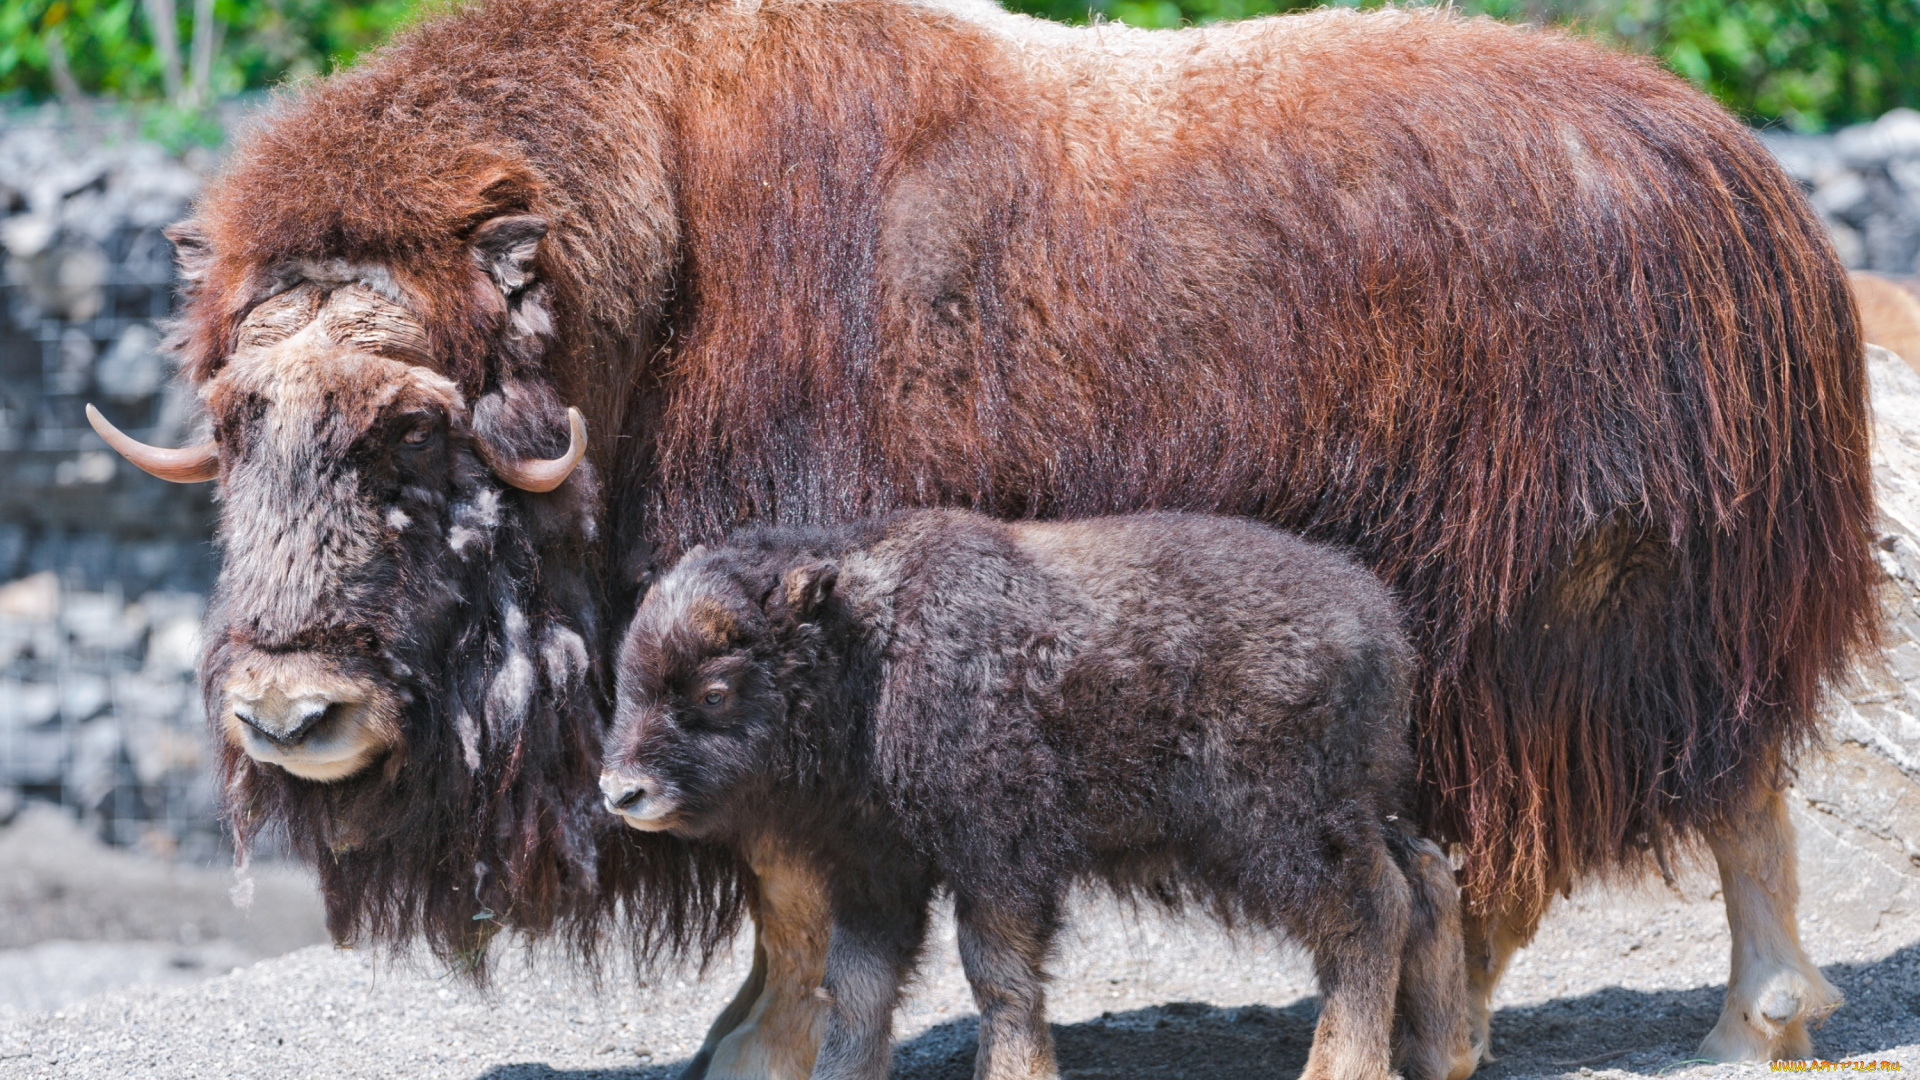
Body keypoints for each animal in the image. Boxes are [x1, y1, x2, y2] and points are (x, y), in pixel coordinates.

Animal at [599, 511, 1466, 1076]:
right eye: (627, 677)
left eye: (714, 691)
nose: (621, 791)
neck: (871, 652)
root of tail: (1378, 625)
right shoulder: (876, 872)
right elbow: (857, 988)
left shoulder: (998, 860)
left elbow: (997, 974)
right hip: (1355, 812)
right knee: (1424, 876)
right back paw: (1440, 1055)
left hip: (1280, 832)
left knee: (1369, 913)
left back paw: (1344, 1068)